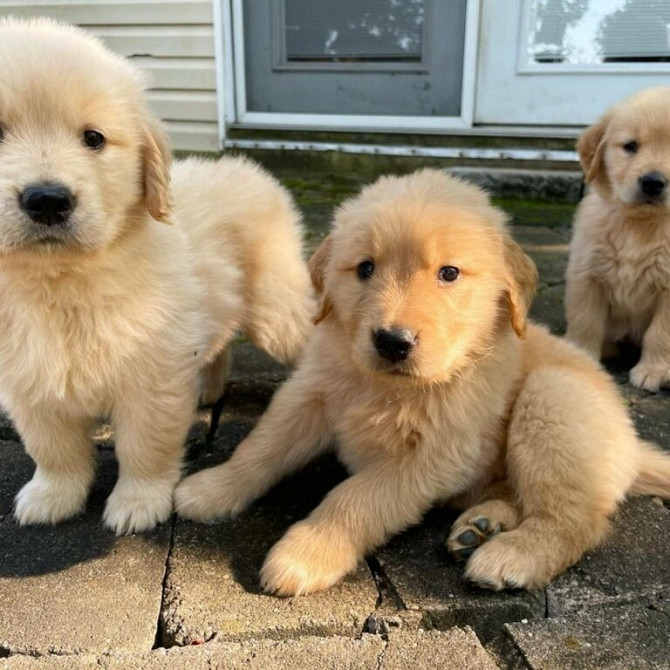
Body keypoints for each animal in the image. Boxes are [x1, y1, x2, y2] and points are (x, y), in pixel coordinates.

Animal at [0, 18, 316, 540]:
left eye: (93, 138)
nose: (47, 200)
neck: (62, 280)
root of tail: (247, 167)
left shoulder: (153, 381)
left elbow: (143, 446)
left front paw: (138, 503)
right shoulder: (29, 382)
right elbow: (53, 449)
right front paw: (52, 496)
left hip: (275, 308)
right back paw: (208, 390)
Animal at [177, 169, 670, 600]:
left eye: (448, 273)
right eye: (365, 268)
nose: (392, 342)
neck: (387, 387)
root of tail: (631, 445)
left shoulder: (435, 455)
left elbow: (353, 498)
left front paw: (306, 553)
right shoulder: (308, 394)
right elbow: (261, 447)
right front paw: (212, 488)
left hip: (553, 400)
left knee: (575, 520)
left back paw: (513, 554)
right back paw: (481, 527)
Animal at [568, 89, 670, 394]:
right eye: (630, 146)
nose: (652, 182)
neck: (640, 224)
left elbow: (660, 333)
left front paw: (653, 370)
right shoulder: (587, 274)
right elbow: (586, 321)